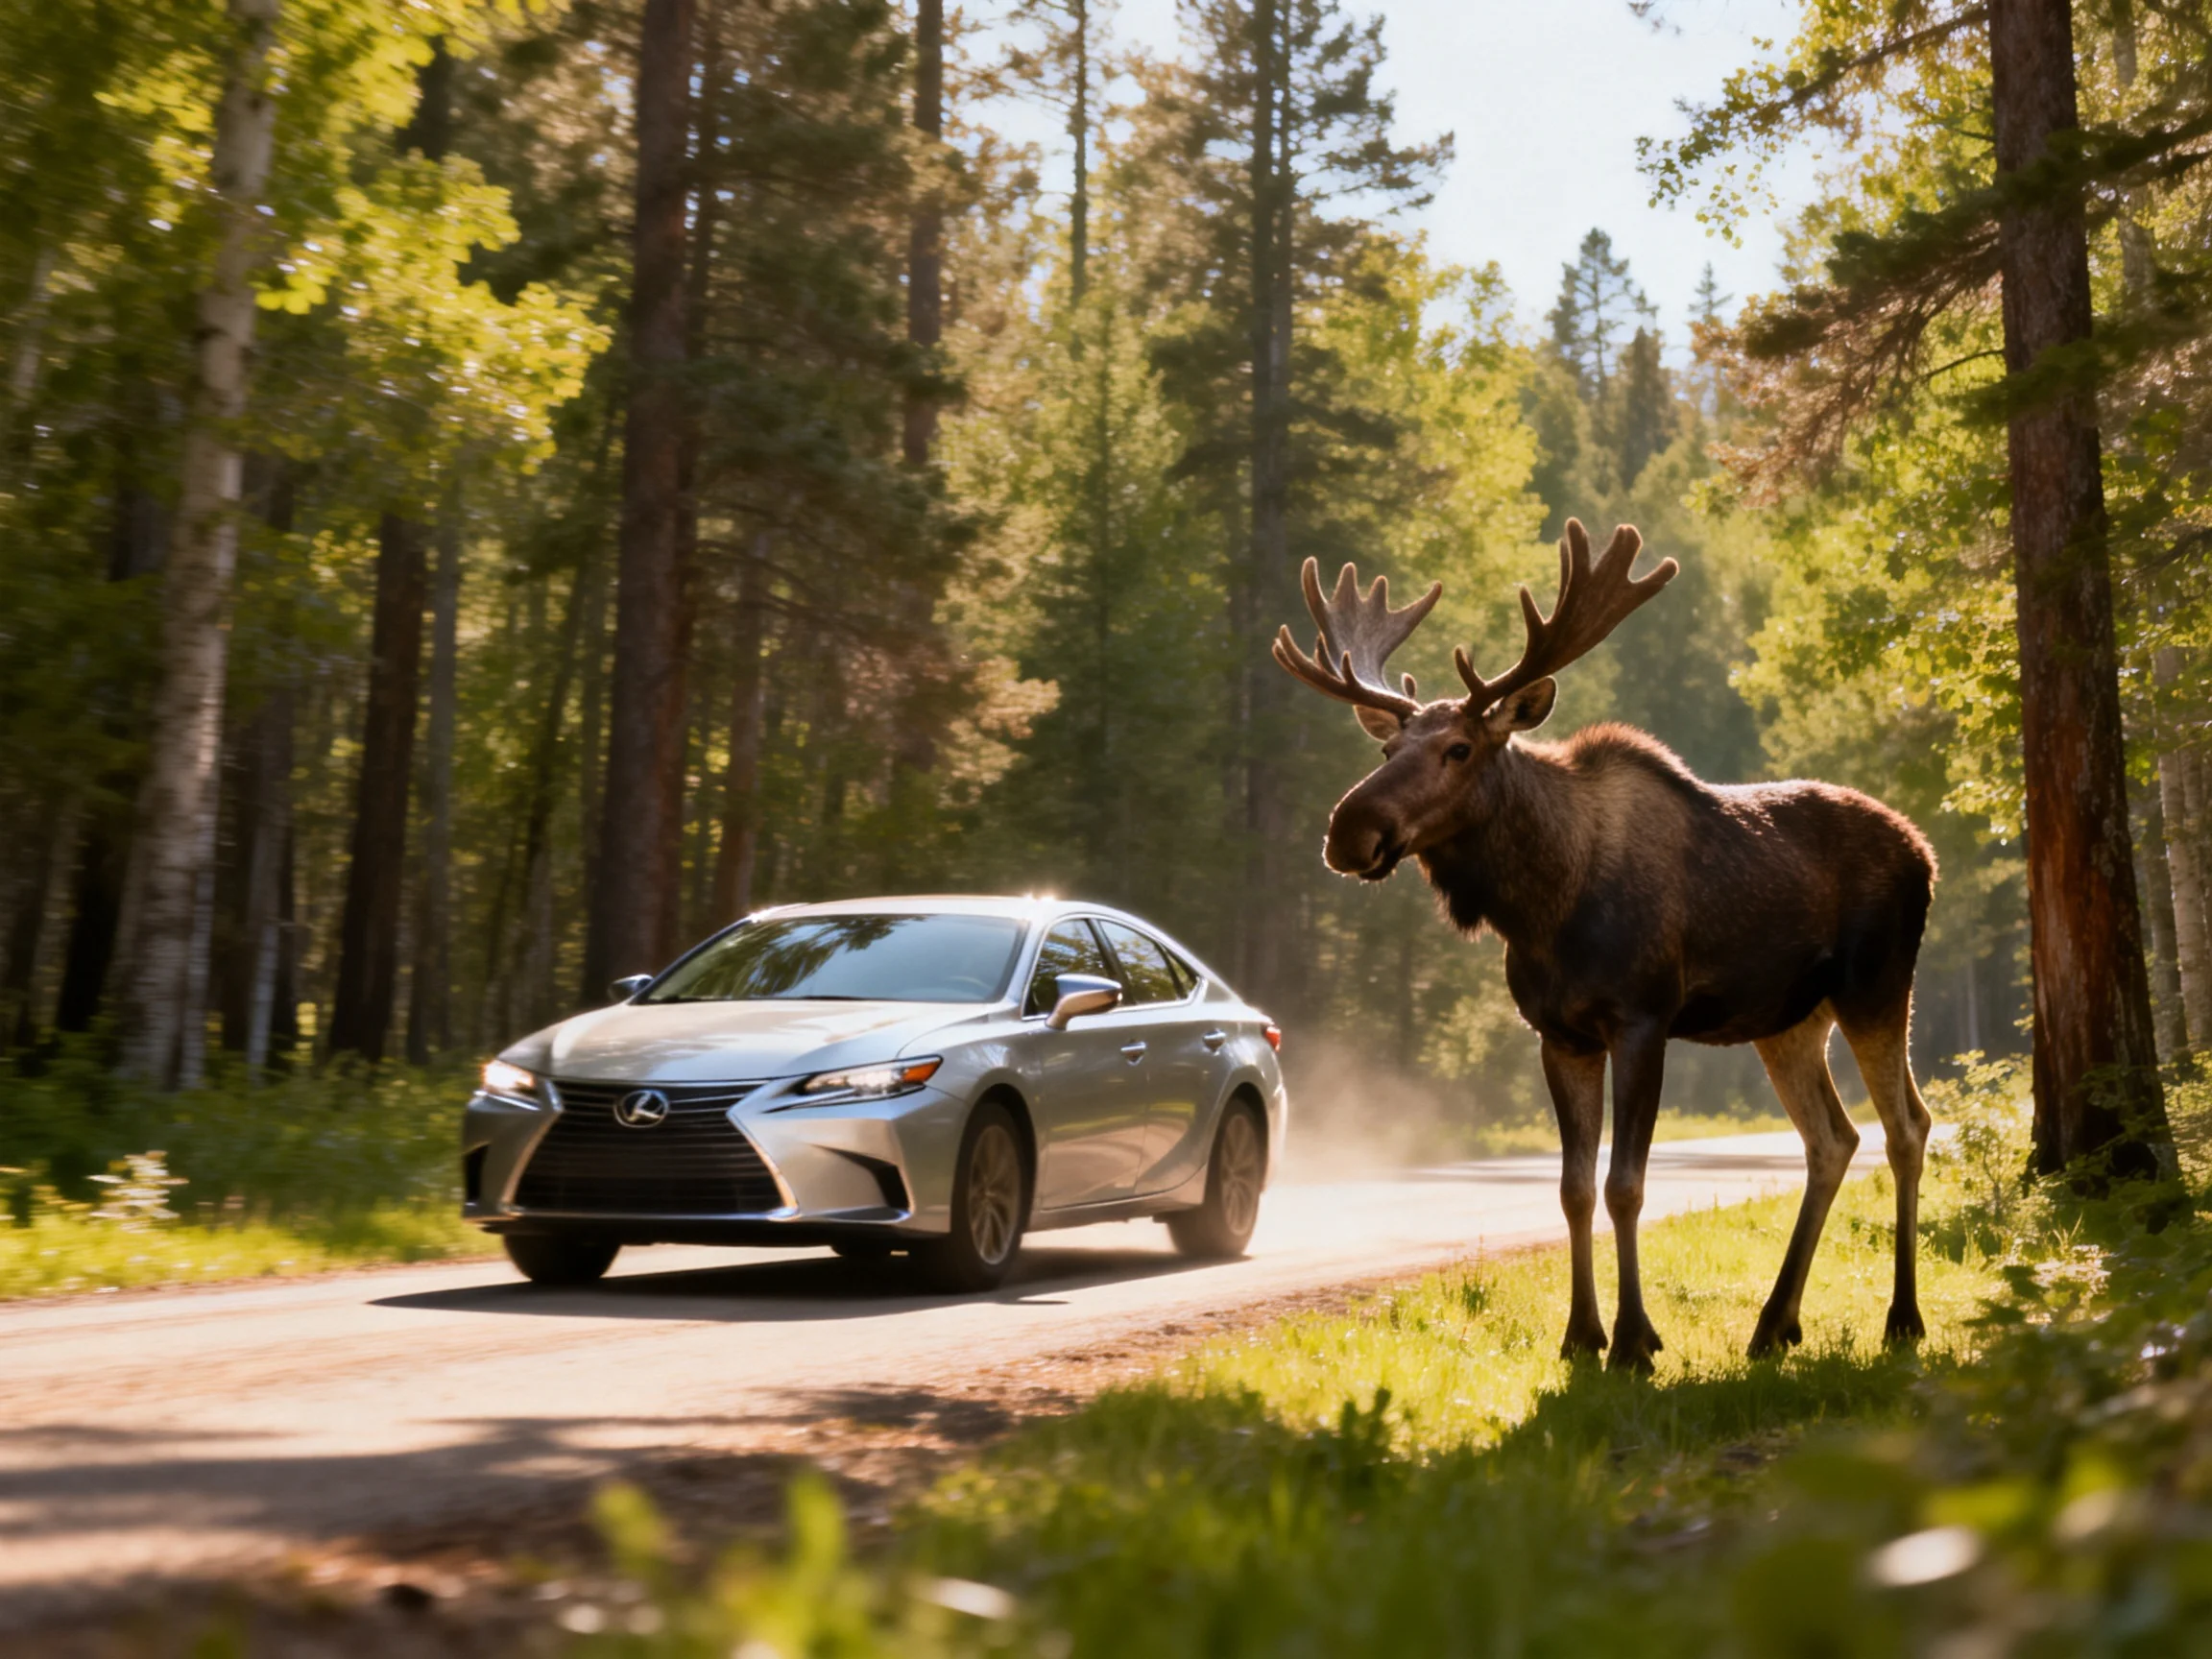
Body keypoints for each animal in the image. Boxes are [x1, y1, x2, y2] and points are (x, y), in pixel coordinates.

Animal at [1275, 520, 1937, 1371]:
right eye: (1389, 753)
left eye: (1459, 748)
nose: (1348, 831)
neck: (1542, 907)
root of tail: (1925, 852)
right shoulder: (1560, 1034)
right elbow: (1574, 1187)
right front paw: (1580, 1334)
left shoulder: (1642, 1018)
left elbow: (1626, 1184)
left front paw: (1632, 1341)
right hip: (1790, 1020)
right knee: (1833, 1138)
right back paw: (1774, 1322)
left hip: (1877, 985)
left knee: (1907, 1127)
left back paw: (1902, 1318)